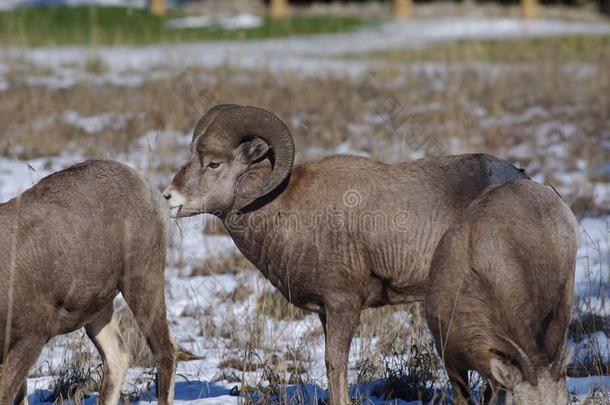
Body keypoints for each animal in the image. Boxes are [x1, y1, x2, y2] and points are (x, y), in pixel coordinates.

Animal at [0, 159, 176, 404]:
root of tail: (144, 184)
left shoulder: (30, 338)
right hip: (98, 310)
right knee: (118, 358)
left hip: (142, 282)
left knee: (165, 351)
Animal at [163, 105, 528, 404]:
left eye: (213, 163)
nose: (168, 197)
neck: (284, 210)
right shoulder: (326, 313)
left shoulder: (343, 305)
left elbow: (335, 365)